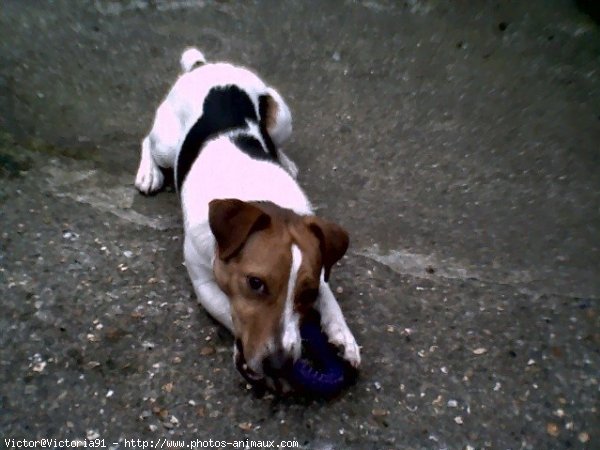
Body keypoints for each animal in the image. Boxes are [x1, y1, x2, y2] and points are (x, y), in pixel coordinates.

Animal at [135, 46, 360, 390]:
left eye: (307, 293)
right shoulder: (202, 281)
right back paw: (148, 173)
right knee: (148, 140)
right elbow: (228, 309)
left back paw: (285, 159)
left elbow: (329, 297)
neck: (260, 195)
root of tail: (204, 65)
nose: (280, 364)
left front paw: (343, 336)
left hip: (281, 117)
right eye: (255, 283)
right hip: (167, 144)